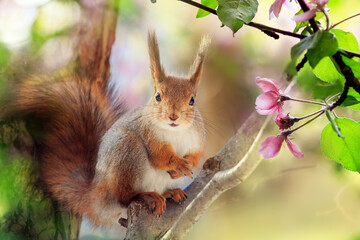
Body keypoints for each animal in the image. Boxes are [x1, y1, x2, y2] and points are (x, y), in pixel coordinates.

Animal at [2, 31, 210, 227]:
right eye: (158, 96)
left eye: (192, 100)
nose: (173, 117)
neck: (175, 131)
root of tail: (94, 196)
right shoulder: (148, 134)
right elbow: (160, 157)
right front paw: (178, 164)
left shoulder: (197, 138)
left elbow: (197, 154)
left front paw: (188, 164)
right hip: (126, 151)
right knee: (124, 197)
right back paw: (146, 196)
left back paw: (170, 193)